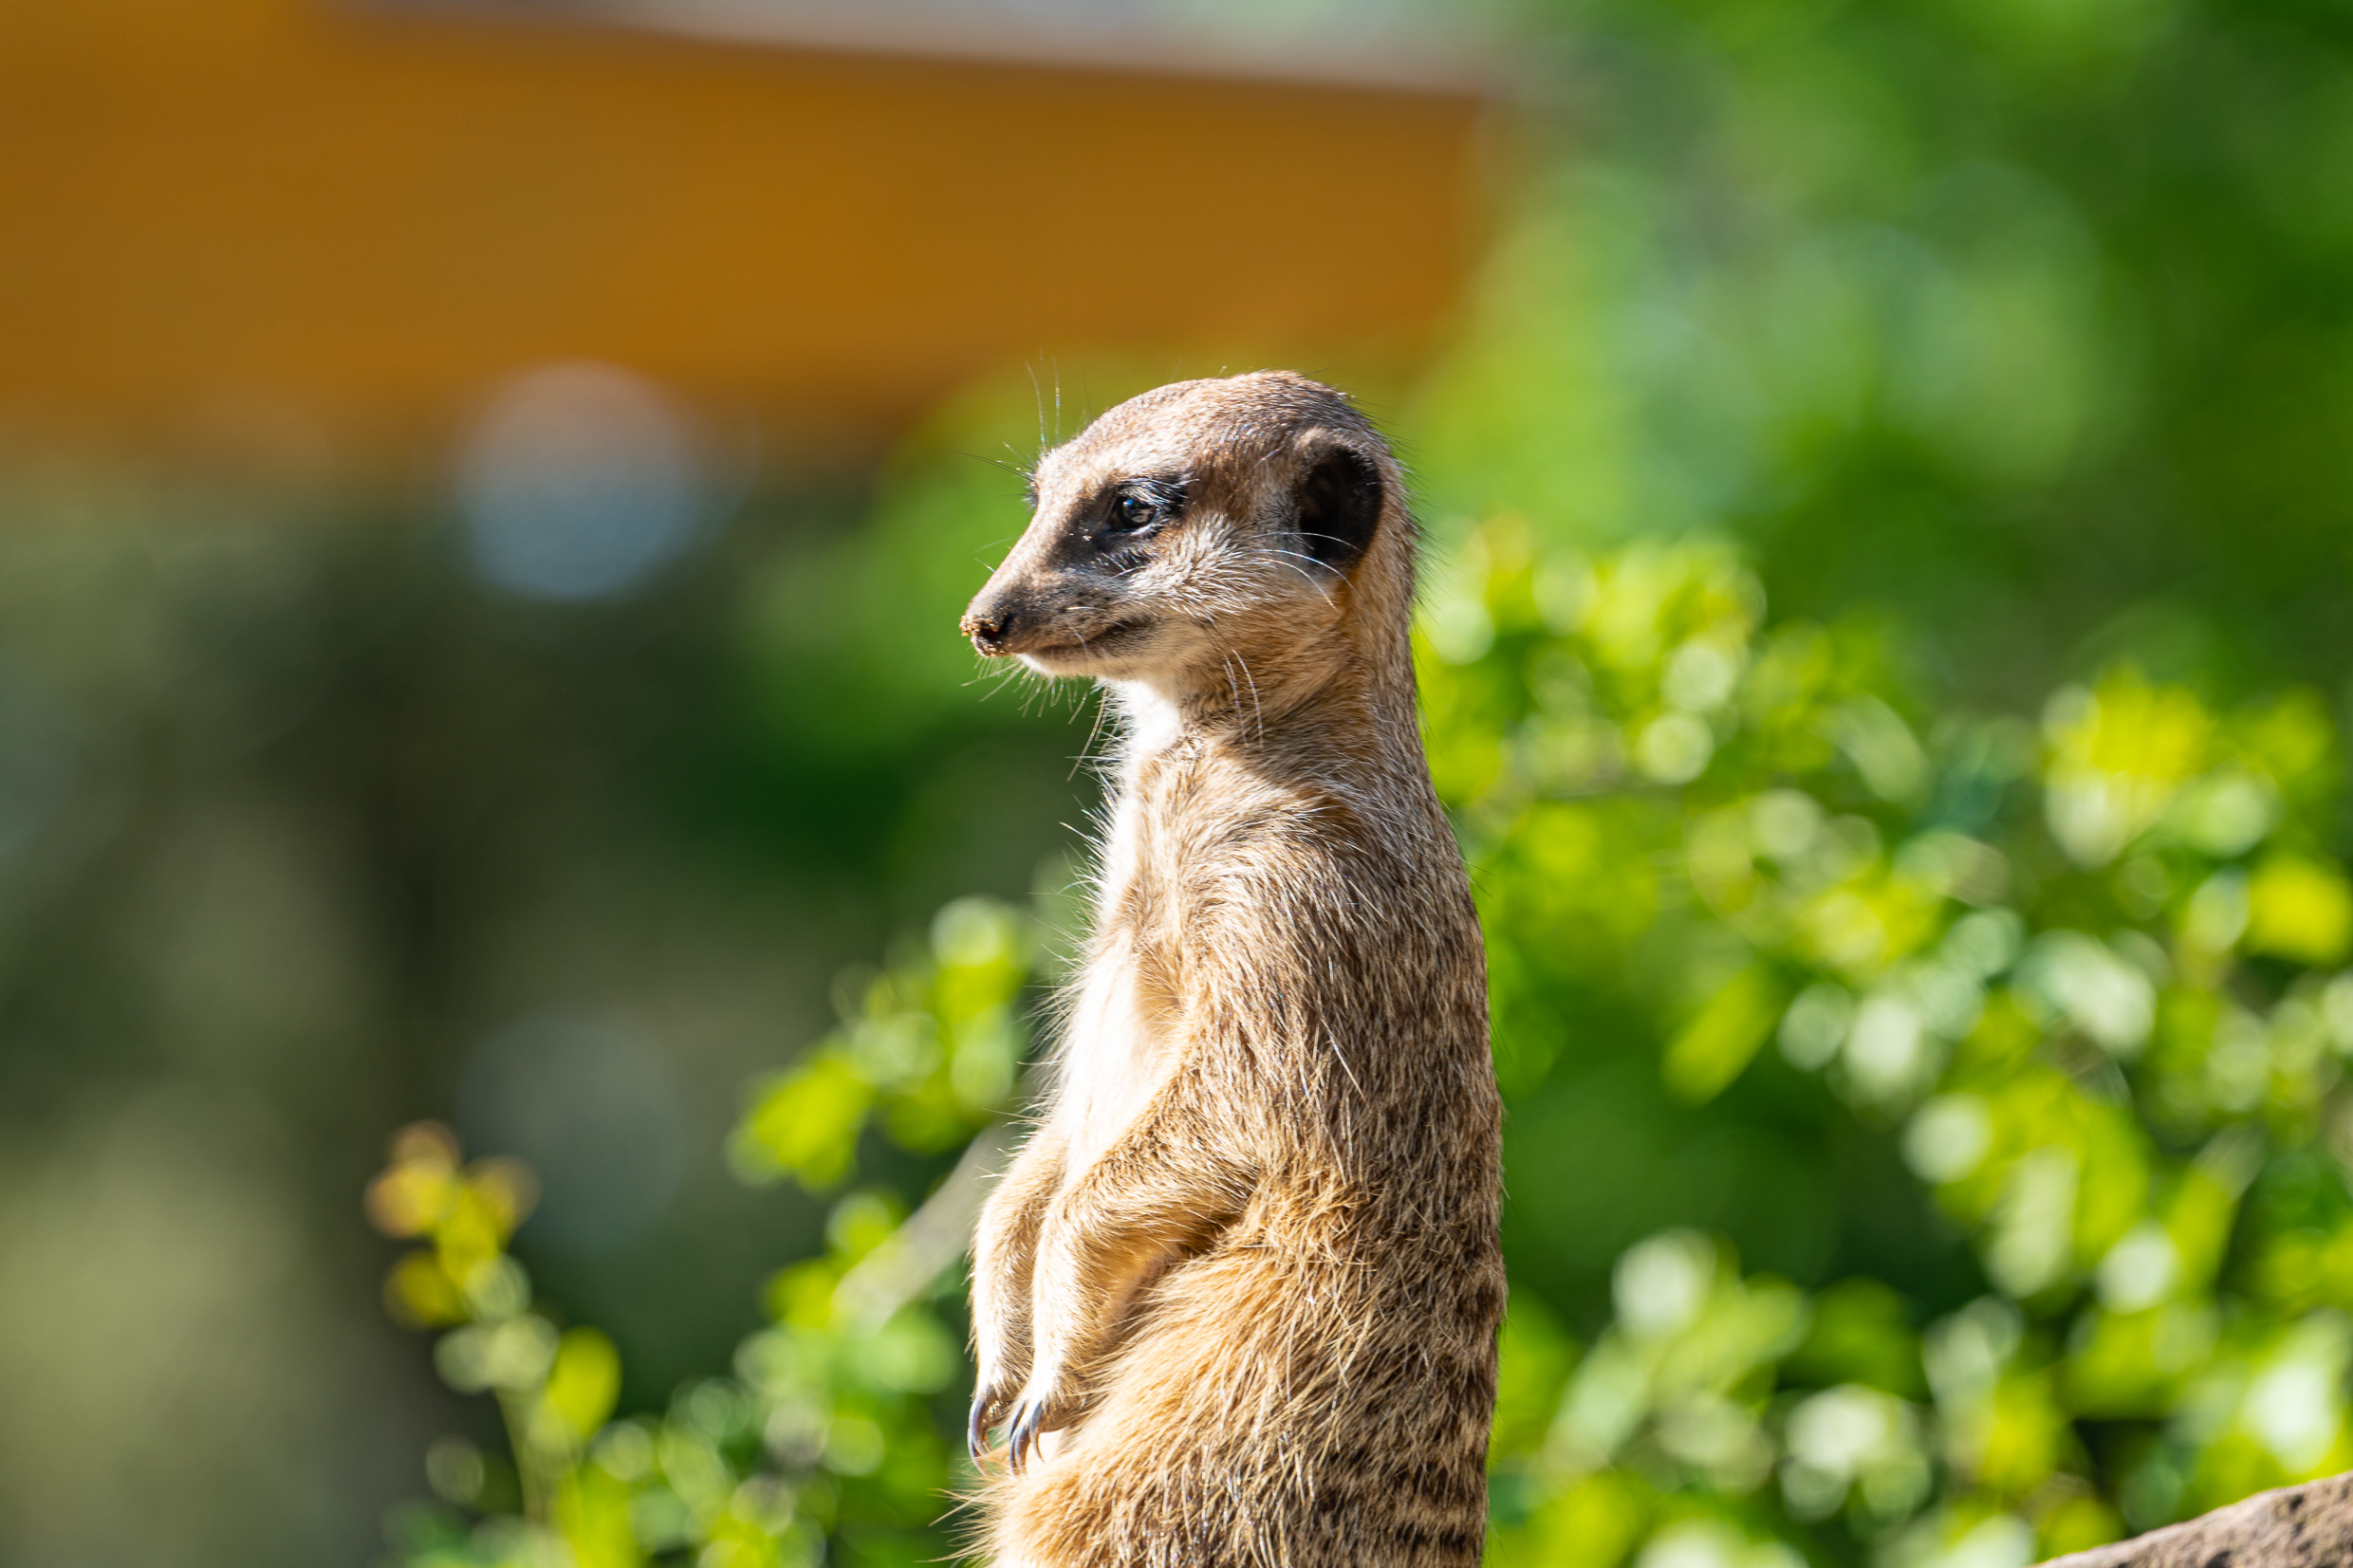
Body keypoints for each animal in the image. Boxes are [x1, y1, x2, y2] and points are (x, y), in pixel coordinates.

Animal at [958, 372, 1502, 1568]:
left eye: (1130, 510)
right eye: (1037, 495)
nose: (984, 619)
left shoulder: (1298, 902)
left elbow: (1233, 1107)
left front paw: (1048, 1353)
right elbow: (1045, 1155)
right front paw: (1002, 1347)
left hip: (1215, 1425)